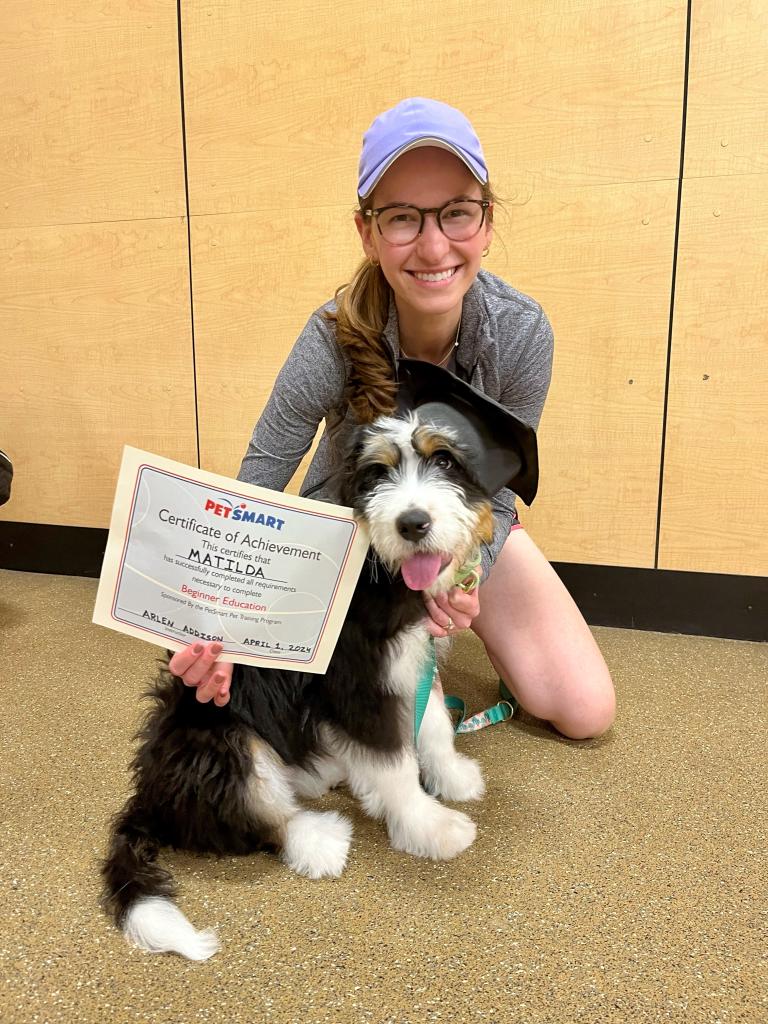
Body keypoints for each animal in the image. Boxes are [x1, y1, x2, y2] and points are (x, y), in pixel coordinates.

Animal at [99, 409, 495, 958]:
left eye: (445, 462)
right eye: (377, 473)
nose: (413, 523)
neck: (380, 570)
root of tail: (149, 798)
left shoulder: (414, 659)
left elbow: (432, 723)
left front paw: (453, 777)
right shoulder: (358, 684)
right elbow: (393, 761)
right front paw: (429, 825)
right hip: (220, 743)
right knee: (260, 820)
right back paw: (320, 839)